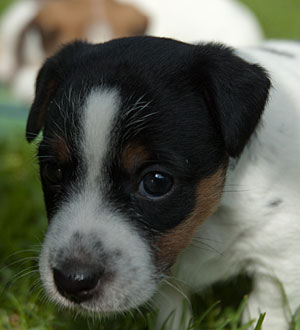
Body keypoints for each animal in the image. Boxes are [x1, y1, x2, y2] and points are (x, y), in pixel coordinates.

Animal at [25, 36, 300, 330]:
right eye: (53, 171)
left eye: (156, 182)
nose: (72, 281)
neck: (207, 220)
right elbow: (170, 308)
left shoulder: (282, 255)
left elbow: (267, 306)